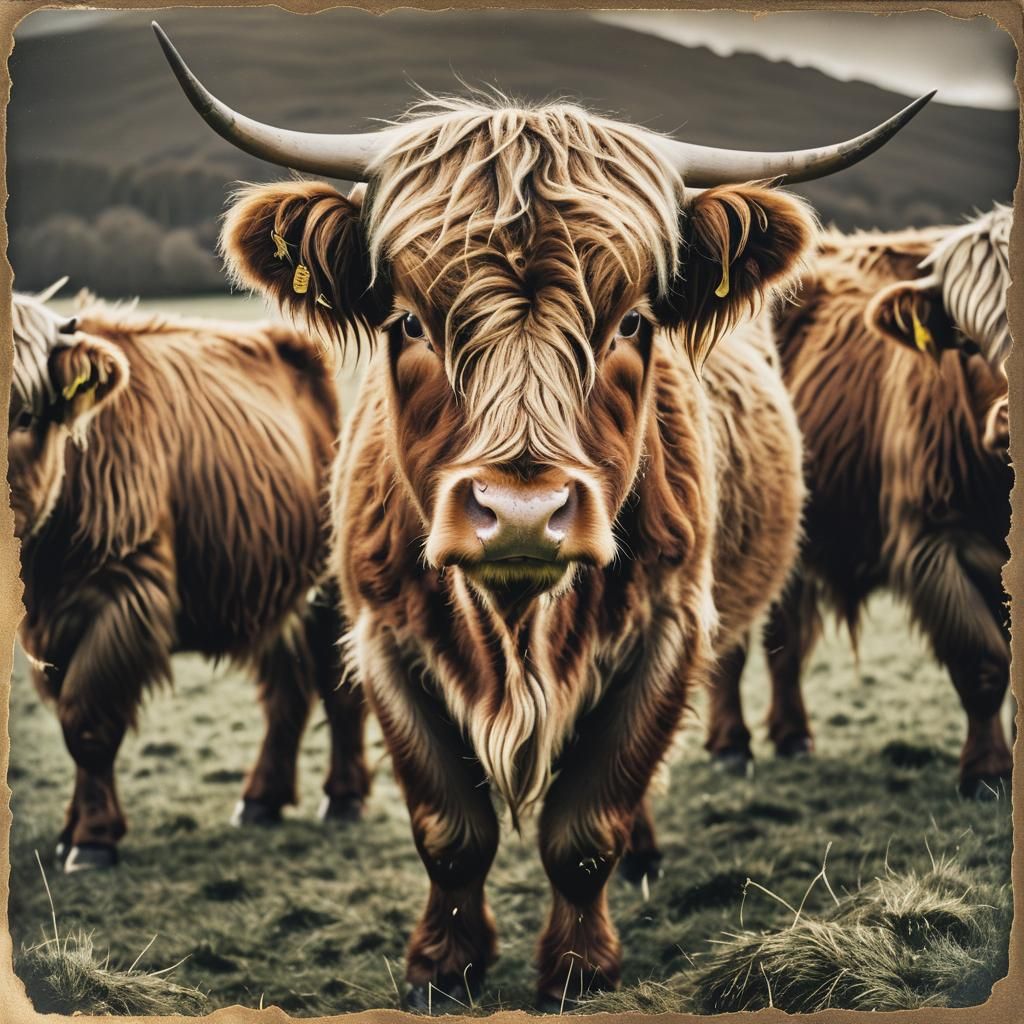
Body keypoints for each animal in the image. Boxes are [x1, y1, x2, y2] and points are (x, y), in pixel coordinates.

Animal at [7, 288, 370, 872]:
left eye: (24, 415)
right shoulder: (50, 626)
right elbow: (70, 719)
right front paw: (69, 830)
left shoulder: (124, 595)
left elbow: (87, 722)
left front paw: (92, 839)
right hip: (272, 584)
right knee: (286, 693)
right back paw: (261, 799)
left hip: (331, 588)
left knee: (340, 689)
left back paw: (344, 796)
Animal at [155, 22, 930, 1008]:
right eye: (409, 323)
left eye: (633, 322)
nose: (522, 511)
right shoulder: (384, 637)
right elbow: (449, 828)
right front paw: (442, 966)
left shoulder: (668, 629)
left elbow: (589, 821)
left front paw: (579, 970)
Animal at [704, 206, 1013, 800]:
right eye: (966, 342)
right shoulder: (936, 542)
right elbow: (983, 663)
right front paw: (988, 773)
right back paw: (731, 745)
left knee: (783, 636)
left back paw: (793, 735)